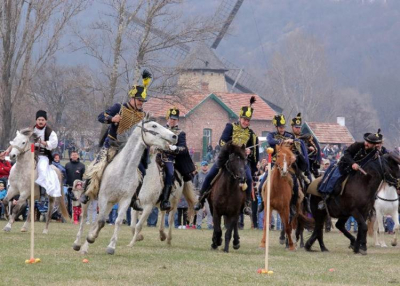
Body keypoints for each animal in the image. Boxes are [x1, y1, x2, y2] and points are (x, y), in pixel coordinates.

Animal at [73, 114, 177, 255]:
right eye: (154, 126)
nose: (174, 136)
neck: (123, 170)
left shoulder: (125, 200)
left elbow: (116, 221)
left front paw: (110, 246)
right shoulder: (103, 197)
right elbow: (101, 221)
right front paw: (91, 238)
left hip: (111, 203)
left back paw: (85, 247)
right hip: (89, 198)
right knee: (84, 218)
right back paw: (77, 244)